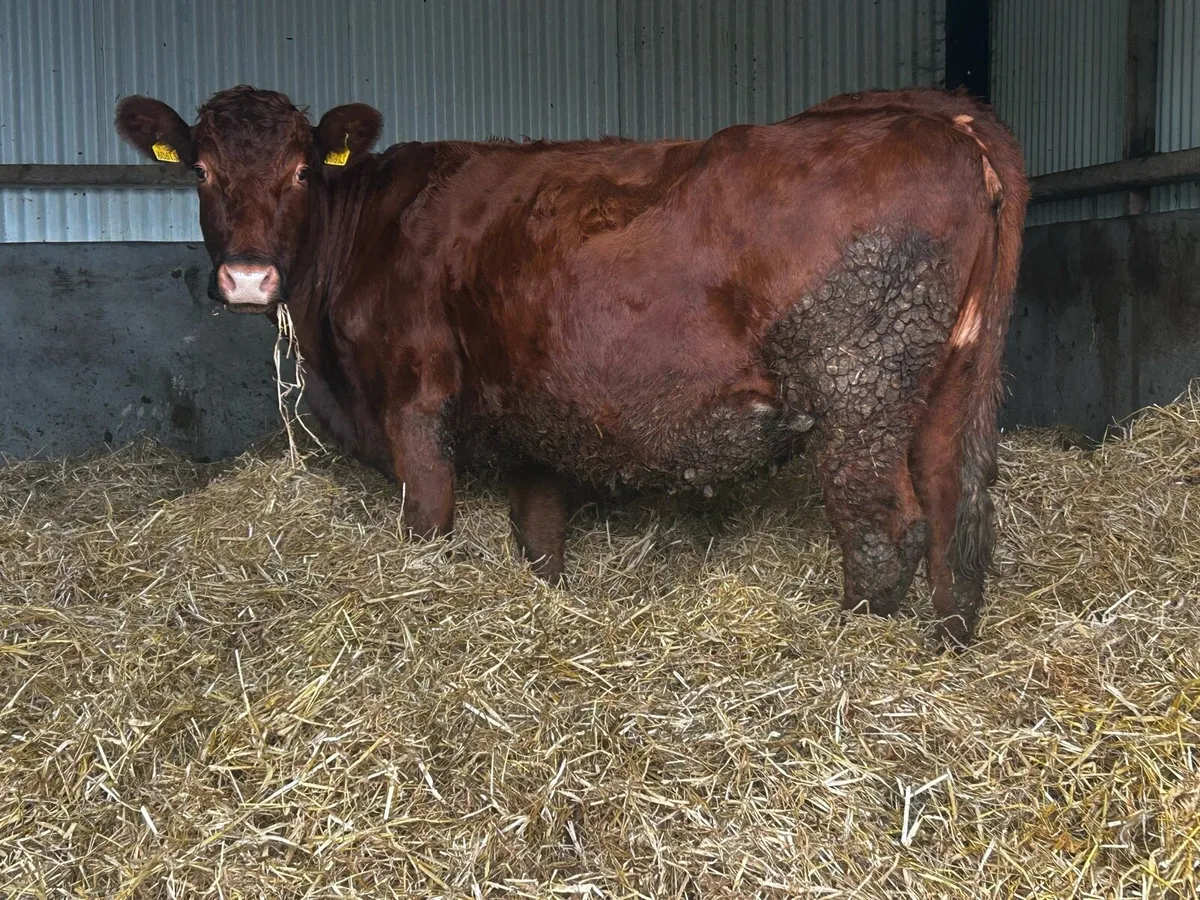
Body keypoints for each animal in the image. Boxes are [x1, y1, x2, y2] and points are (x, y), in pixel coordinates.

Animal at [115, 84, 1028, 647]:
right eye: (201, 169)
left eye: (303, 169)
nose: (248, 276)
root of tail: (938, 116)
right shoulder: (537, 420)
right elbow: (541, 544)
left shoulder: (415, 404)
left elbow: (430, 530)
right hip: (950, 383)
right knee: (954, 514)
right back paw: (941, 654)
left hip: (859, 388)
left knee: (884, 533)